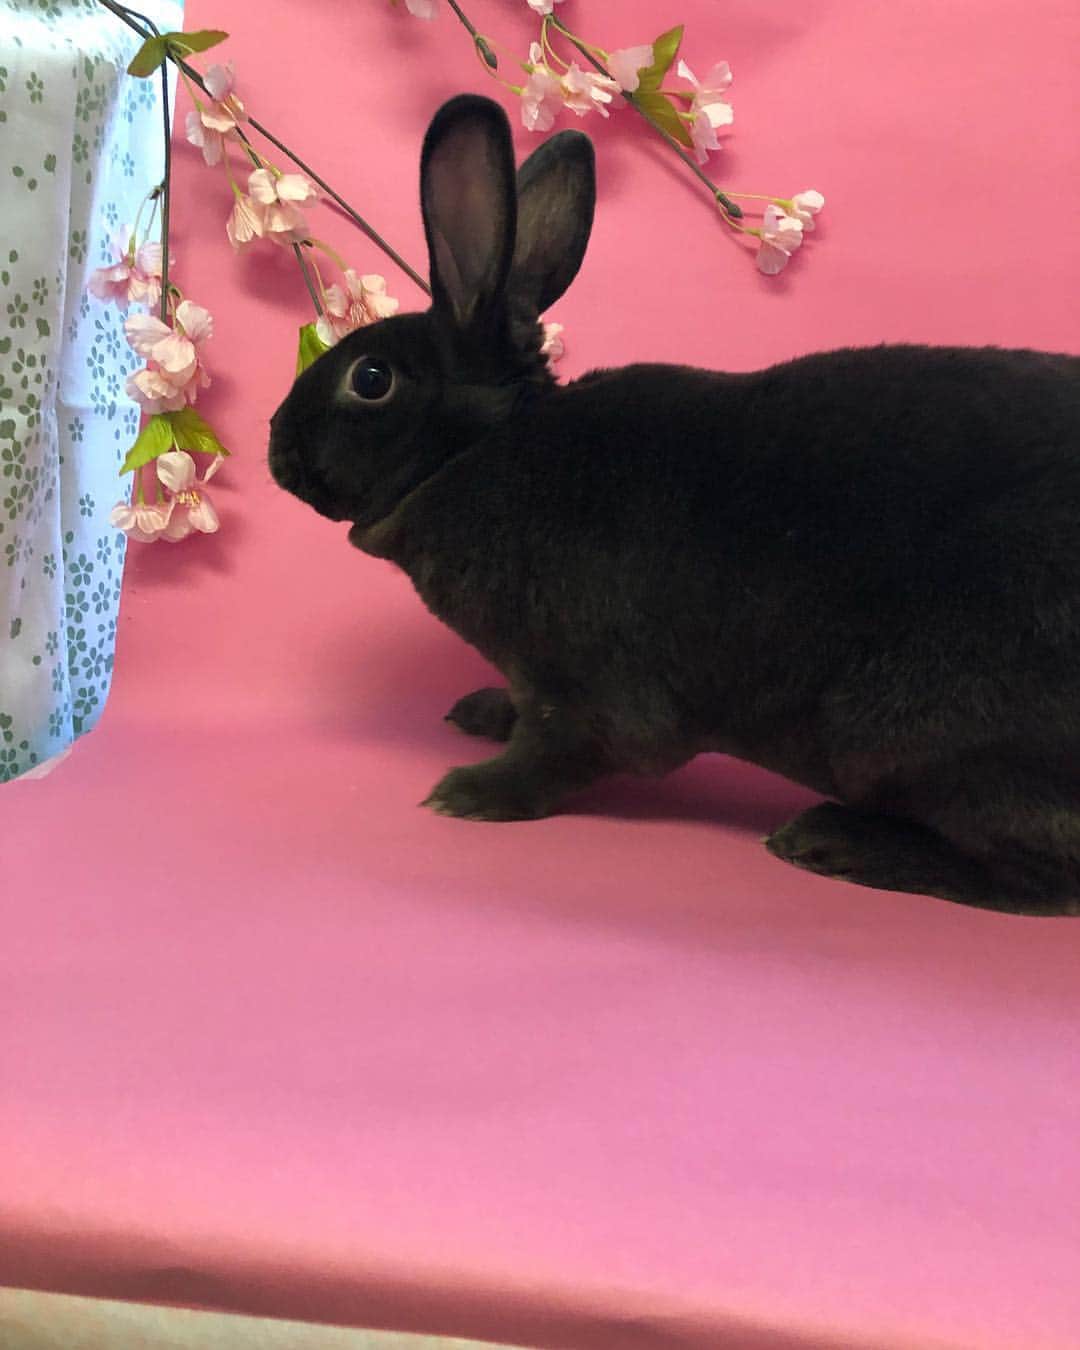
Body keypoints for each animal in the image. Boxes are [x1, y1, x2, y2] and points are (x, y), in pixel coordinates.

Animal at [268, 93, 1080, 916]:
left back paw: (833, 841)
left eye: (371, 379)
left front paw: (469, 791)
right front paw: (480, 713)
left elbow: (561, 751)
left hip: (921, 732)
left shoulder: (581, 689)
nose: (276, 449)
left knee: (1041, 881)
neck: (479, 451)